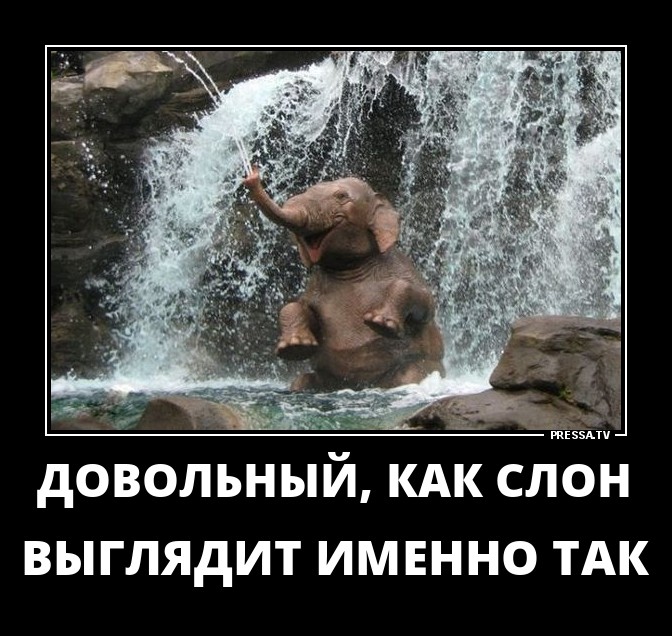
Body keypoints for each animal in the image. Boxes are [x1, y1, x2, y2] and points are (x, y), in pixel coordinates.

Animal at [242, 167, 445, 391]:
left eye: (341, 196)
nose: (251, 177)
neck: (349, 267)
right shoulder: (315, 288)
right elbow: (302, 309)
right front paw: (294, 347)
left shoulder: (403, 269)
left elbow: (426, 302)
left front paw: (380, 324)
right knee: (301, 381)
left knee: (409, 376)